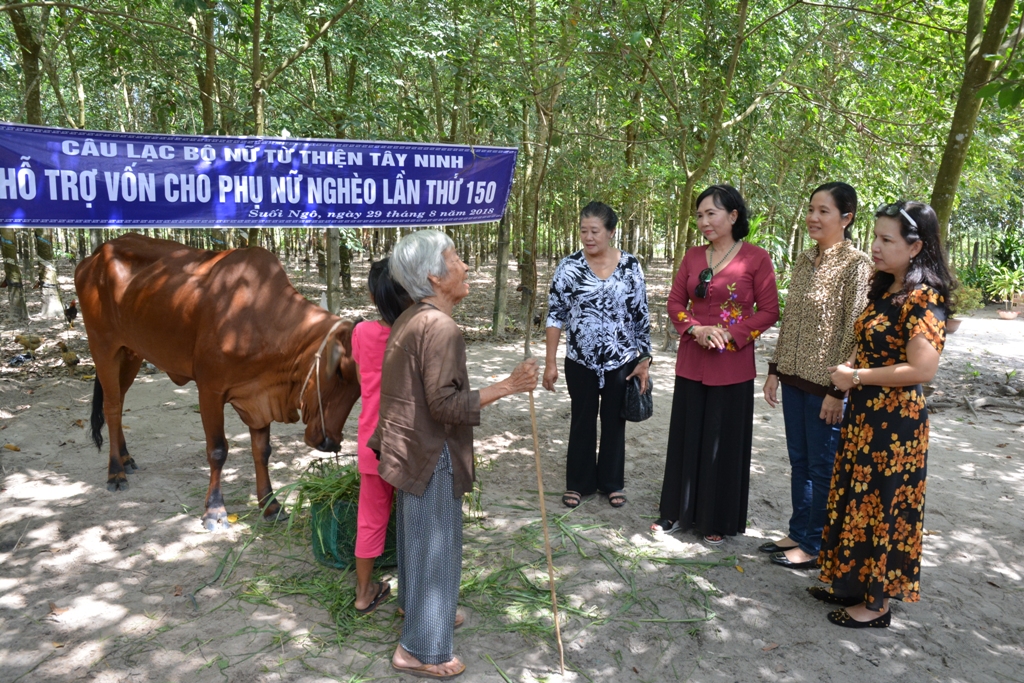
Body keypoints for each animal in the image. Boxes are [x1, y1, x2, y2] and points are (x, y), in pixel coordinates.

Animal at [74, 237, 360, 532]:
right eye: (339, 372)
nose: (331, 442)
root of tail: (95, 255)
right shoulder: (210, 390)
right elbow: (218, 450)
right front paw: (215, 511)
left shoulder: (257, 395)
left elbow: (263, 451)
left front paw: (270, 505)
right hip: (103, 346)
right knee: (111, 407)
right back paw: (116, 473)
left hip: (131, 352)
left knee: (119, 404)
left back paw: (126, 458)